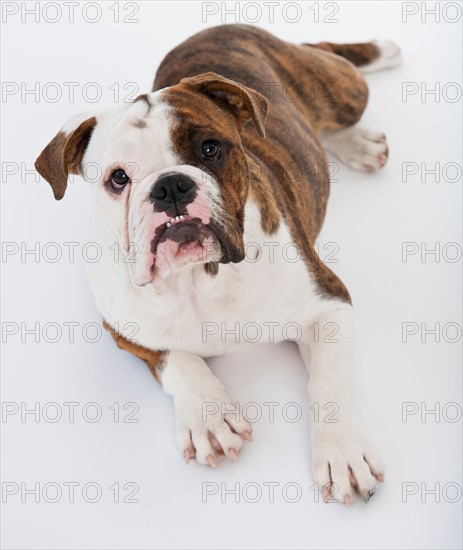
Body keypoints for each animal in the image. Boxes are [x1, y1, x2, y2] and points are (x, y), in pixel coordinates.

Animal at [35, 23, 402, 506]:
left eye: (211, 149)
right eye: (118, 178)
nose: (171, 186)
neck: (199, 279)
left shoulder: (328, 304)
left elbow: (329, 382)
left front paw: (343, 451)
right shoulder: (127, 331)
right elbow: (178, 362)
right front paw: (208, 417)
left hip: (341, 90)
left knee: (326, 60)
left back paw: (369, 97)